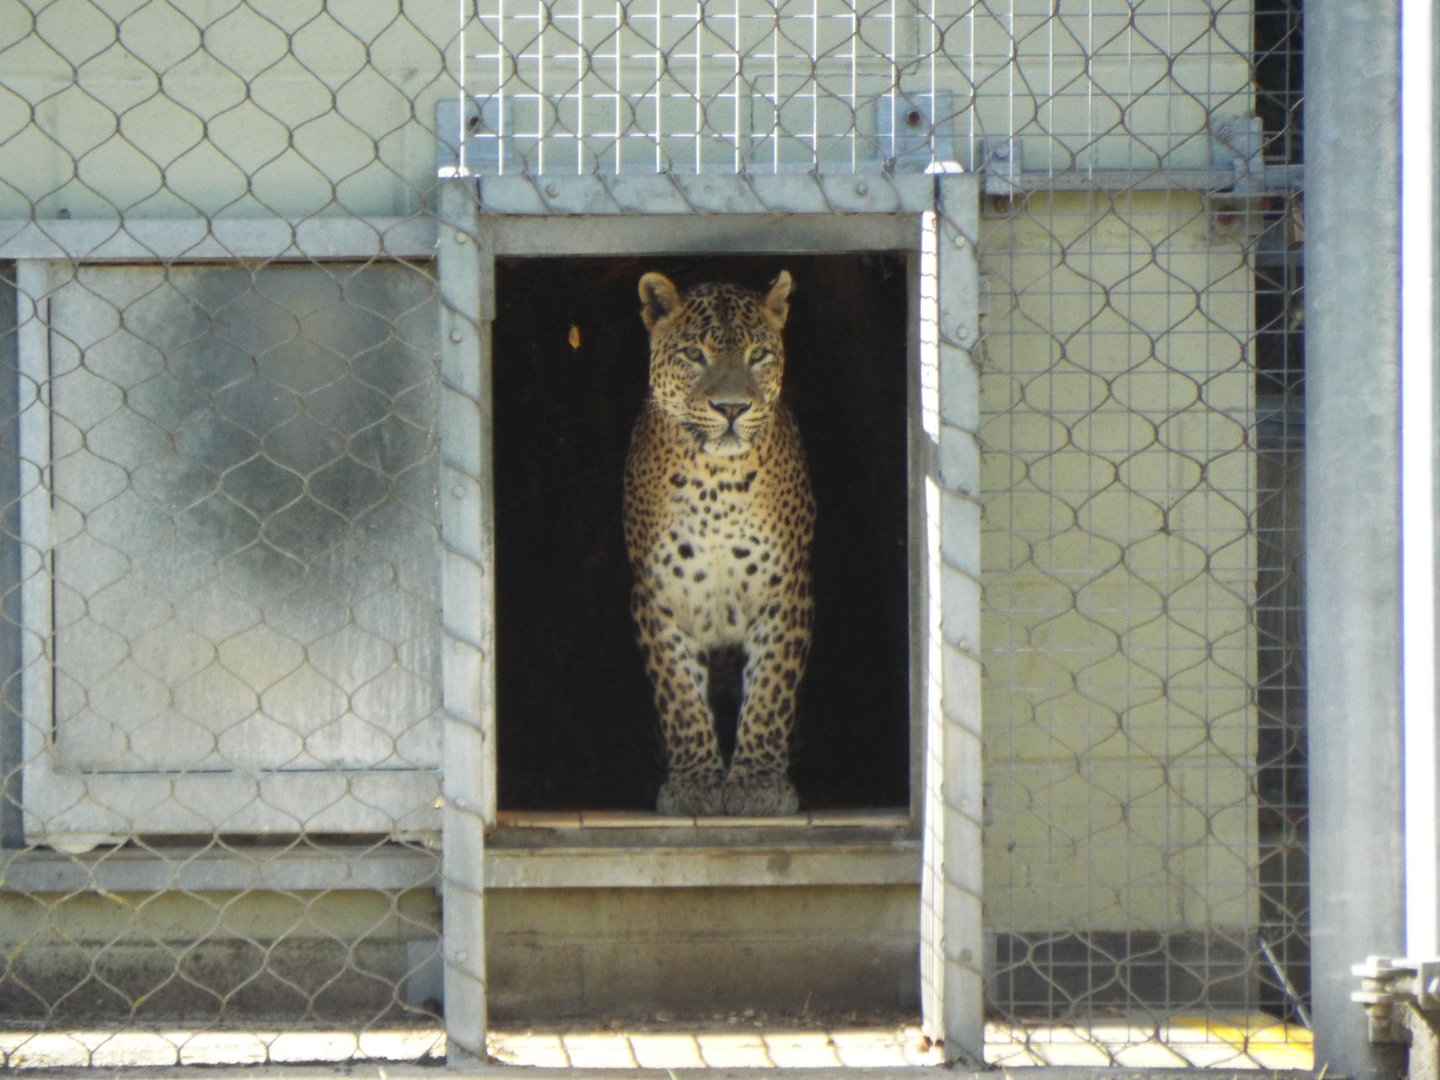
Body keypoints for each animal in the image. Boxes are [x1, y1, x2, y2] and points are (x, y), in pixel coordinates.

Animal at [623, 270, 815, 817]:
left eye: (758, 354)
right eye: (694, 354)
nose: (731, 408)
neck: (717, 482)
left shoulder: (785, 590)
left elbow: (770, 688)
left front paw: (757, 783)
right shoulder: (658, 595)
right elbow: (680, 694)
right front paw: (695, 782)